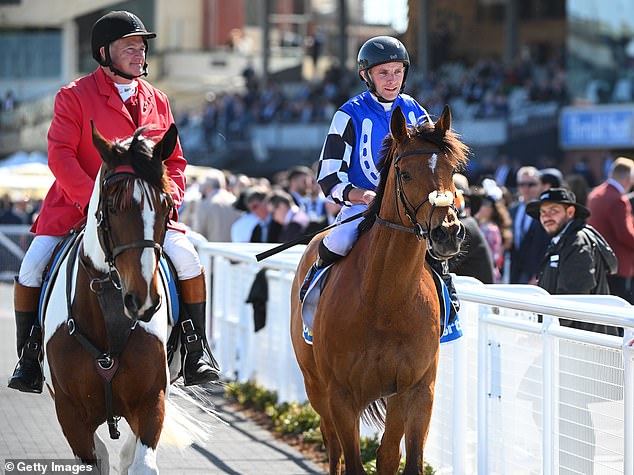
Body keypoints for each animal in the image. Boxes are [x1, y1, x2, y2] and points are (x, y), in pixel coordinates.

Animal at [42, 123, 177, 475]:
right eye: (113, 207)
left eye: (166, 206)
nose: (143, 299)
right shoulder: (71, 415)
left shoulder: (151, 402)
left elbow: (140, 463)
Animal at [288, 106, 466, 474]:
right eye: (404, 174)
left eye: (452, 171)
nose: (447, 233)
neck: (385, 302)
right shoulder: (341, 394)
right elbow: (352, 459)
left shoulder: (415, 389)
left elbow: (400, 459)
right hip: (315, 384)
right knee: (333, 446)